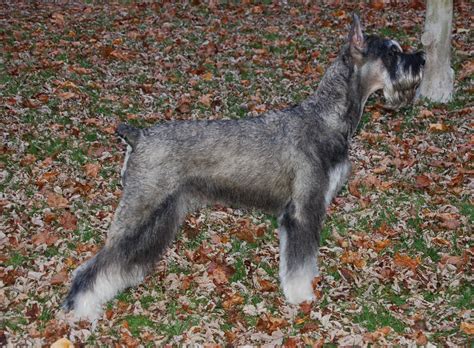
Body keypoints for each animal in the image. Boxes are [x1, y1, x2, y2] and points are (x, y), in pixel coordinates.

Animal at [64, 15, 426, 320]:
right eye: (392, 53)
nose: (421, 58)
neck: (327, 117)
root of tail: (138, 136)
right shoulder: (303, 210)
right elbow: (300, 261)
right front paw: (302, 297)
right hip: (141, 208)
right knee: (96, 263)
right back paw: (80, 308)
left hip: (162, 214)